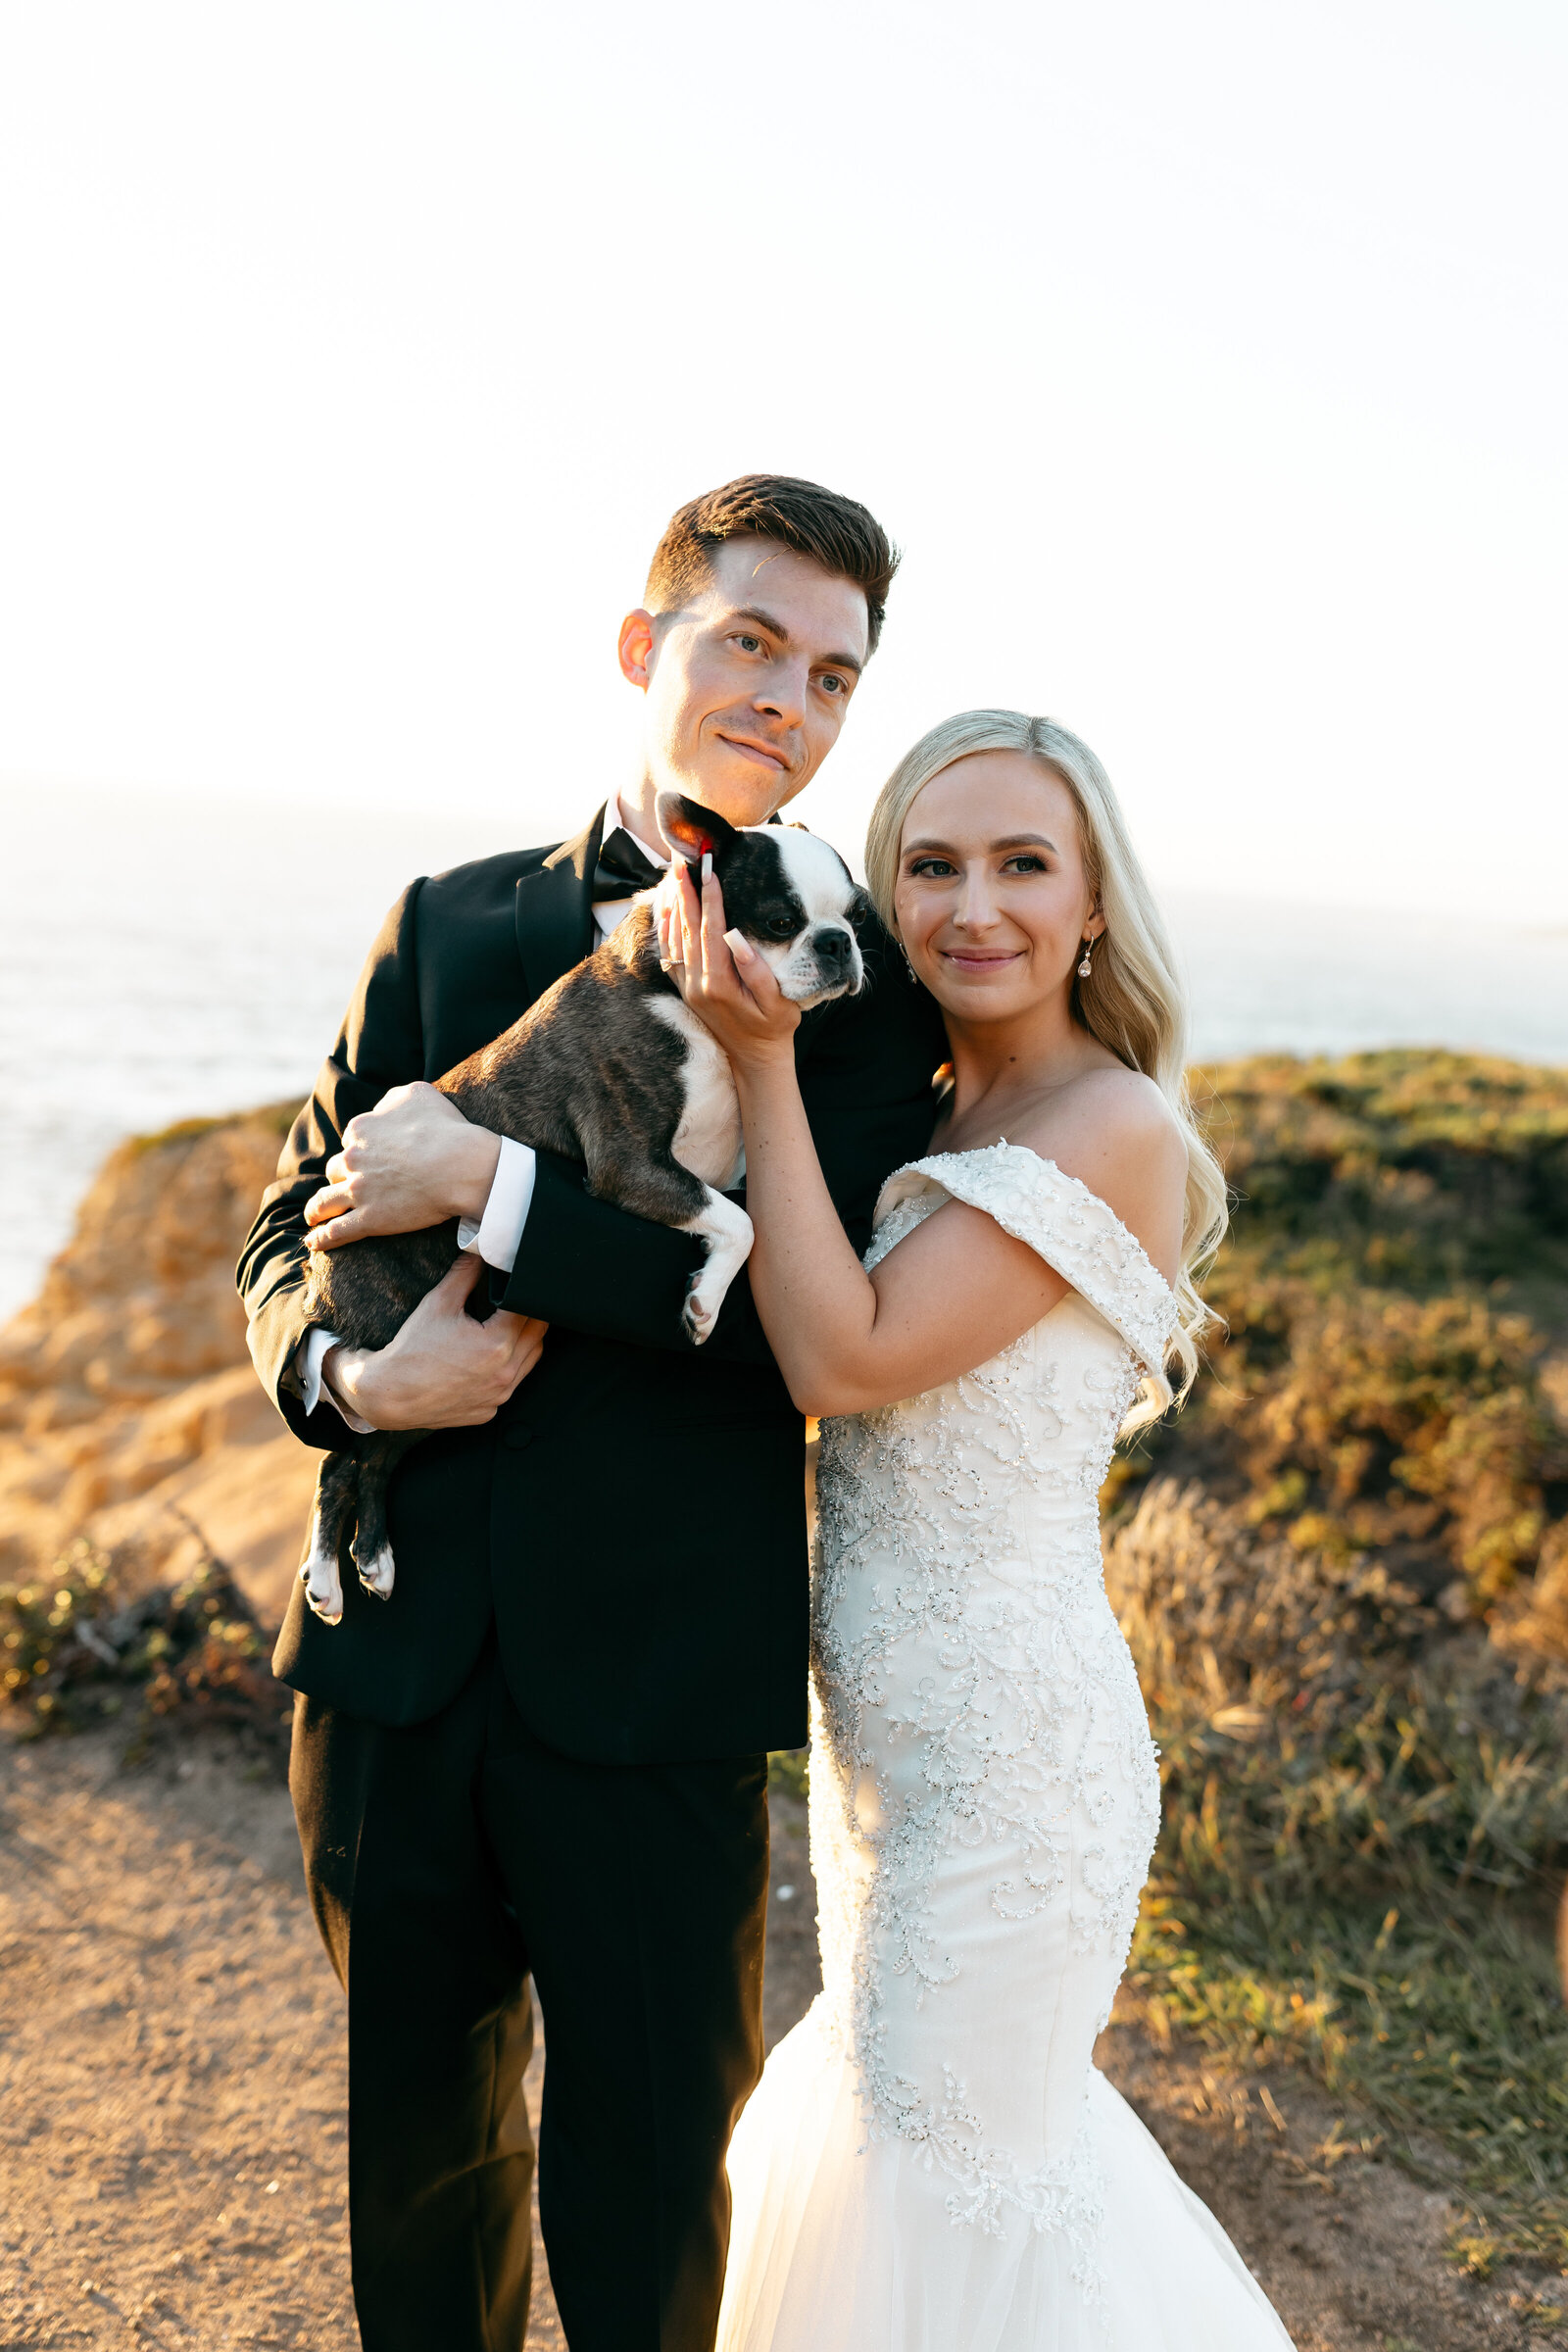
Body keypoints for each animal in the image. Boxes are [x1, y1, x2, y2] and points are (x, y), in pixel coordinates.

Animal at [293, 800, 869, 1627]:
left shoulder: (725, 1172)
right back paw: (327, 1579)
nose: (838, 946)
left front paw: (707, 1292)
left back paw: (372, 1558)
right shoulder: (630, 1166)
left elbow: (744, 1222)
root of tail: (319, 1268)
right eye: (780, 920)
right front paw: (702, 1304)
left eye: (855, 917)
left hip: (436, 1394)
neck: (678, 993)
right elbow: (741, 1223)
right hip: (394, 1346)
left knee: (372, 1460)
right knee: (341, 1459)